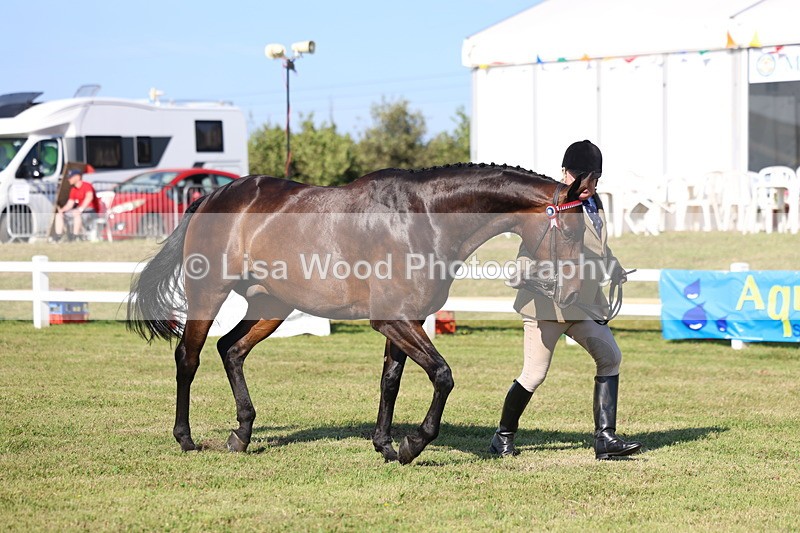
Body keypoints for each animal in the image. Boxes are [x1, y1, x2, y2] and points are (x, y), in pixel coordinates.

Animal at [127, 163, 589, 464]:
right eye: (570, 230)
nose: (572, 292)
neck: (424, 217)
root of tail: (212, 196)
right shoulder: (391, 319)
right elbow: (442, 374)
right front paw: (412, 444)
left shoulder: (406, 321)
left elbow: (391, 381)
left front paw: (384, 444)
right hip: (208, 294)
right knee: (189, 357)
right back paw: (186, 439)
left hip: (271, 305)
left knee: (231, 349)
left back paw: (241, 434)